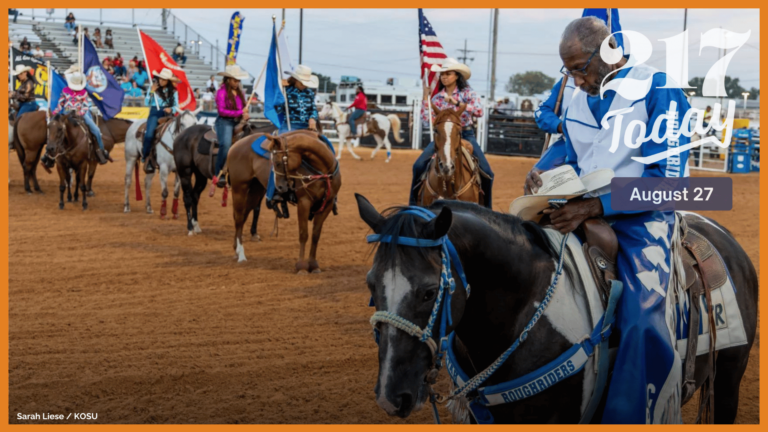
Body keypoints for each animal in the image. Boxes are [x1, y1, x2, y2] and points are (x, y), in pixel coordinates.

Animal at [225, 130, 340, 272]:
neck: (323, 171)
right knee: (239, 218)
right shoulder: (304, 202)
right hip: (239, 188)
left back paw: (236, 249)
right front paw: (301, 266)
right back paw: (241, 254)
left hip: (255, 190)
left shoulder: (327, 204)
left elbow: (315, 235)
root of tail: (235, 145)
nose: (279, 187)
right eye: (273, 162)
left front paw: (313, 265)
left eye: (278, 163)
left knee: (243, 216)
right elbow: (303, 234)